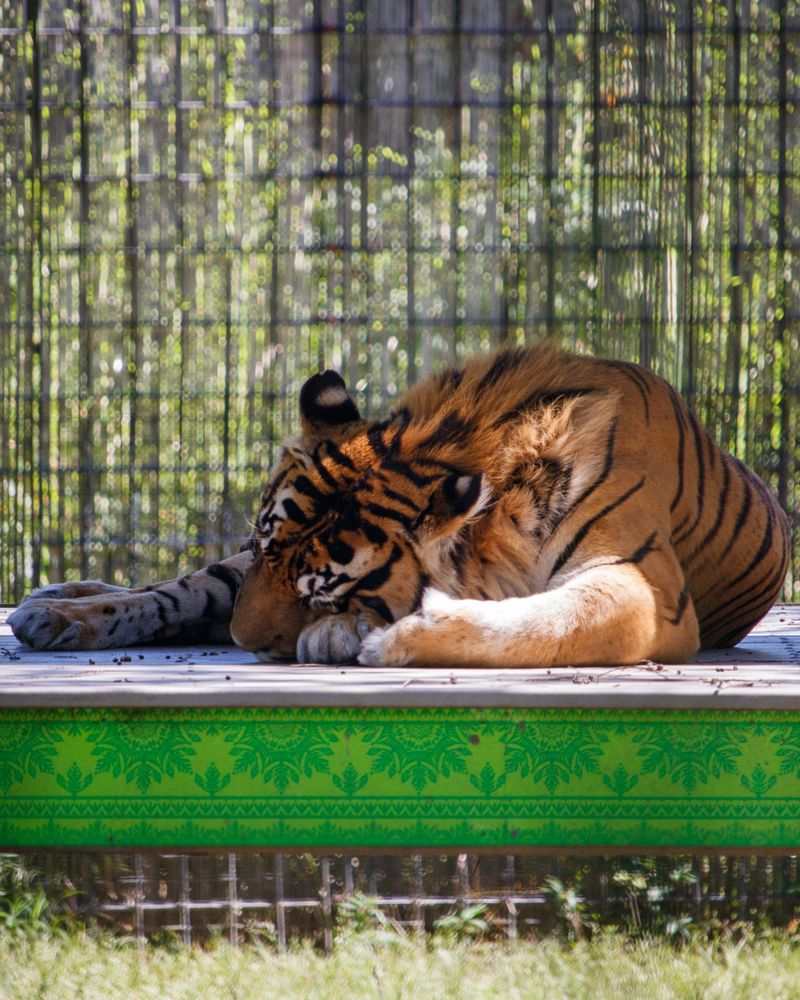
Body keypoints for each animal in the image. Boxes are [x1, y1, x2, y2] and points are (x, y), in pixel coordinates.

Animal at [9, 341, 790, 668]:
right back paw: (53, 609)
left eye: (322, 590)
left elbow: (551, 621)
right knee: (173, 592)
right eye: (263, 548)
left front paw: (383, 638)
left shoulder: (641, 585)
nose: (240, 640)